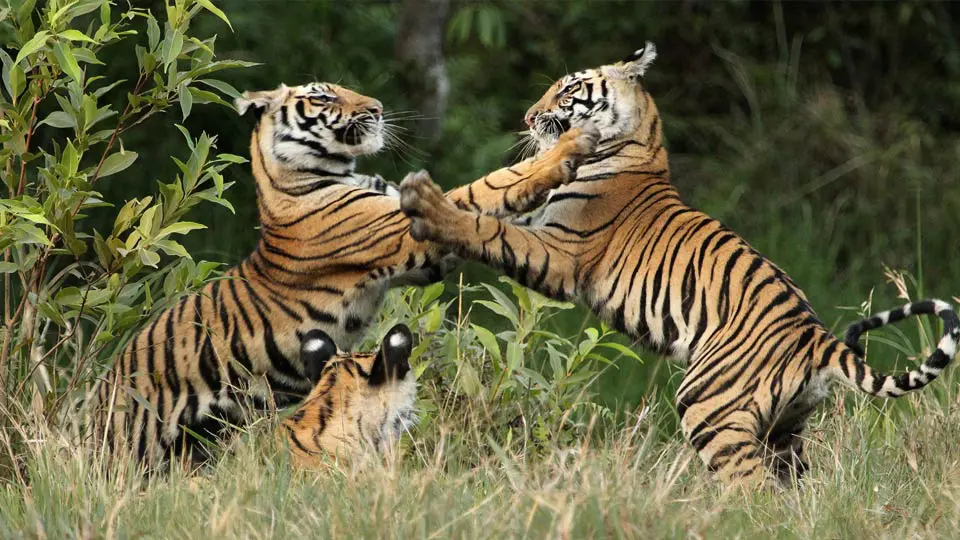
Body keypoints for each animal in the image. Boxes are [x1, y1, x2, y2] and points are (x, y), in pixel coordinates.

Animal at [398, 44, 960, 487]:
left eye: (568, 91)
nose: (529, 118)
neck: (637, 143)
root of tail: (815, 338)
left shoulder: (562, 251)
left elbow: (492, 228)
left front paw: (436, 212)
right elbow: (495, 192)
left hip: (710, 404)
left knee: (751, 490)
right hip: (786, 431)